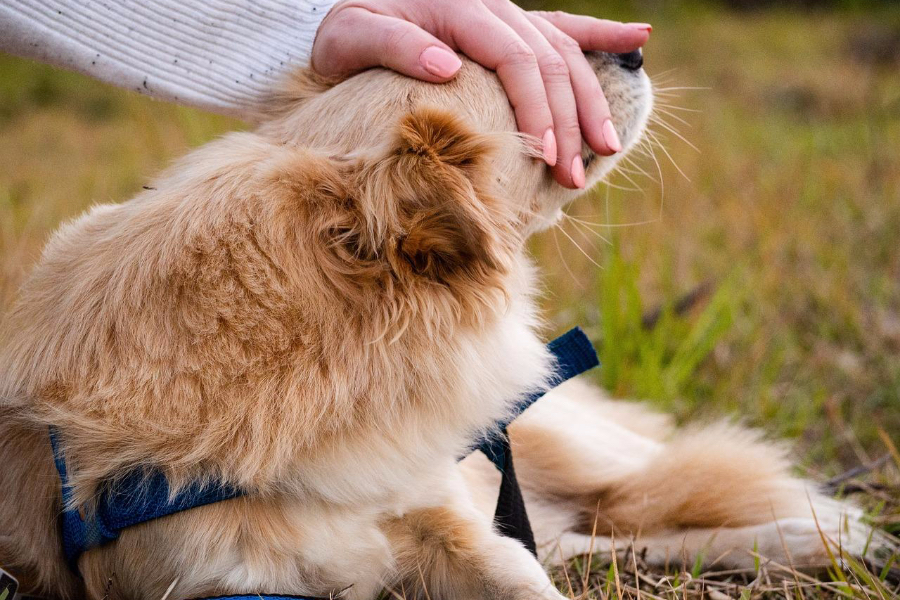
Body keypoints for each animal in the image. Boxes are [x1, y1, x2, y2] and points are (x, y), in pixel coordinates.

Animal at [0, 52, 888, 600]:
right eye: (528, 89)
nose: (634, 54)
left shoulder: (454, 527)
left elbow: (528, 582)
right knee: (607, 539)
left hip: (587, 458)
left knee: (650, 504)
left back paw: (825, 536)